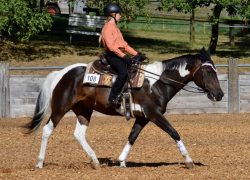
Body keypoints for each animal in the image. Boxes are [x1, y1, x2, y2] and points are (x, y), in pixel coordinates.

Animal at [25, 47, 225, 169]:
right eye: (208, 71)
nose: (220, 94)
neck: (156, 82)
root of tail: (62, 72)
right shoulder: (154, 114)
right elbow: (174, 132)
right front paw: (189, 160)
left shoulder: (143, 117)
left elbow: (132, 136)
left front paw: (121, 161)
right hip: (61, 107)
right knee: (47, 129)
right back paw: (40, 162)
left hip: (84, 110)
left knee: (79, 134)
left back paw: (95, 161)